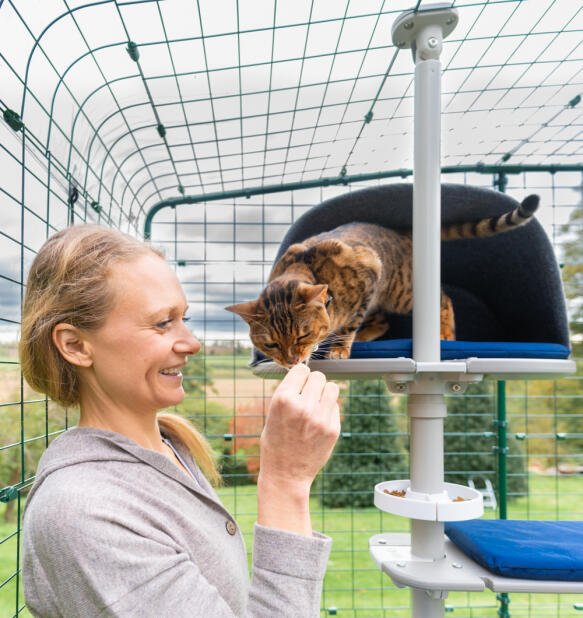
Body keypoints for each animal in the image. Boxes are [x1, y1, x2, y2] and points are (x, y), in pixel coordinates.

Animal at [226, 194, 540, 366]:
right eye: (271, 344)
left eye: (302, 335)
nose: (291, 361)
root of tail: (401, 233)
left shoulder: (369, 274)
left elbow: (348, 326)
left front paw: (339, 348)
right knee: (382, 321)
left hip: (401, 292)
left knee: (443, 300)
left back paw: (445, 335)